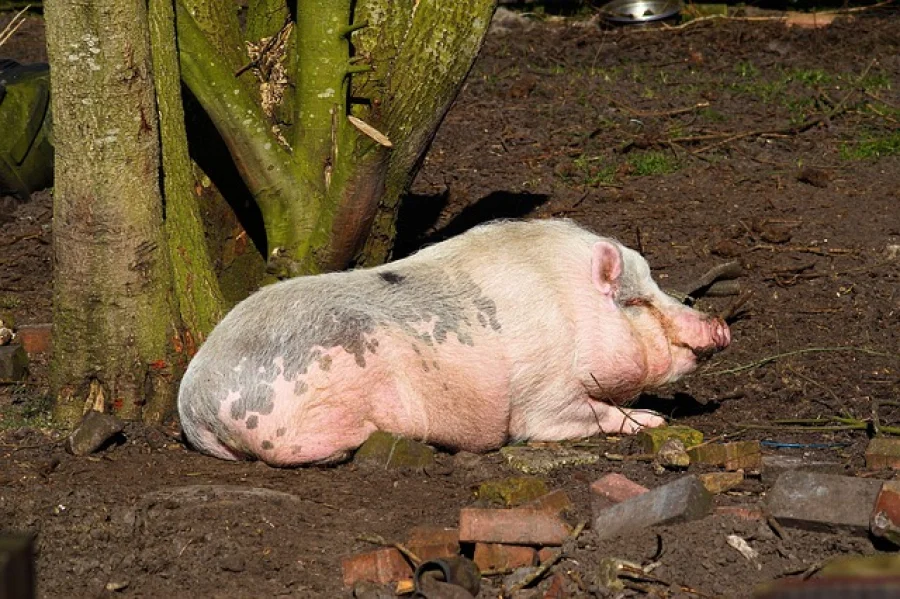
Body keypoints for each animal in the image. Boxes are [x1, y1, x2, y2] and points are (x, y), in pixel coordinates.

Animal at [177, 219, 730, 466]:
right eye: (635, 302)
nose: (720, 325)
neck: (570, 308)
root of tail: (194, 403)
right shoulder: (544, 400)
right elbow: (579, 416)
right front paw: (654, 421)